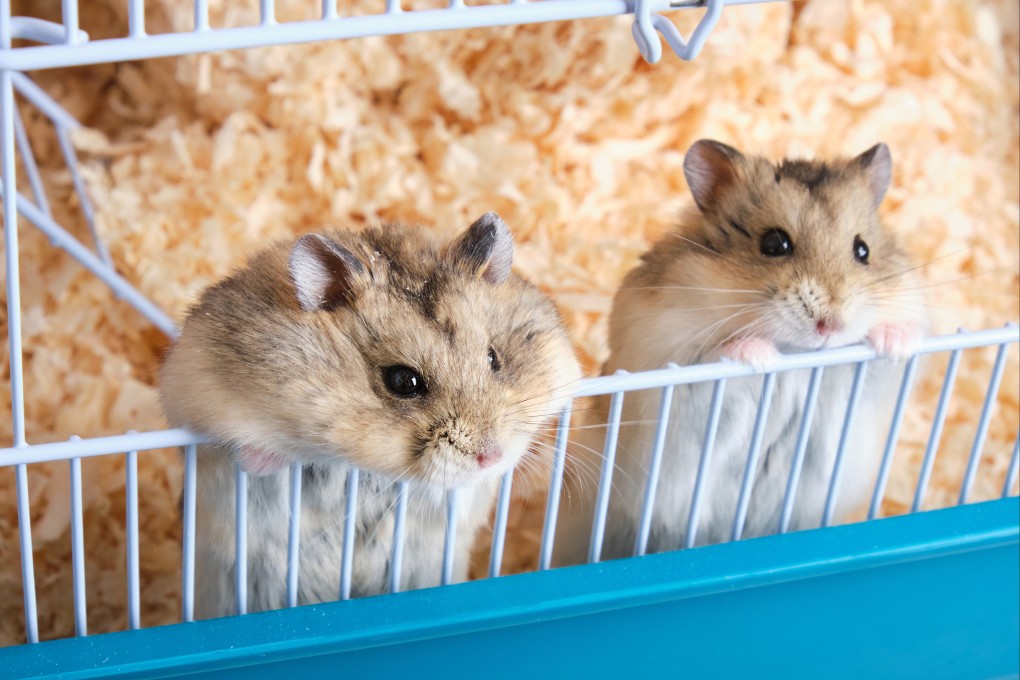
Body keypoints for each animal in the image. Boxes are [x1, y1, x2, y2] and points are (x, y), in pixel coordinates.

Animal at [553, 141, 928, 565]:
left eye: (862, 250)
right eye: (774, 244)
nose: (830, 326)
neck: (798, 354)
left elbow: (887, 358)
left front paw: (897, 343)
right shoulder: (669, 361)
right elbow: (718, 353)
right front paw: (761, 358)